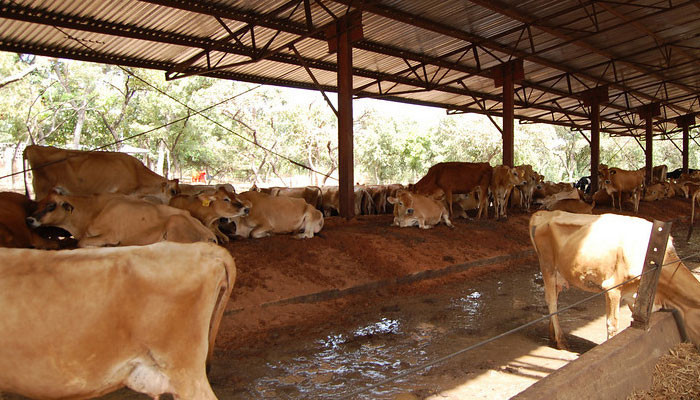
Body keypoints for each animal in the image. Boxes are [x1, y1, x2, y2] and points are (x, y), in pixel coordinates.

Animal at [27, 190, 216, 247]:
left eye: (51, 205)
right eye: (38, 203)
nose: (29, 219)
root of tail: (210, 234)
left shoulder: (110, 235)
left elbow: (81, 243)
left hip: (175, 221)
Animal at [529, 211, 700, 350]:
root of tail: (545, 213)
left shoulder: (636, 295)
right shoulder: (612, 287)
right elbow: (612, 324)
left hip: (559, 274)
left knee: (555, 299)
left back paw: (552, 334)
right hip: (548, 267)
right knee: (551, 301)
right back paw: (560, 340)